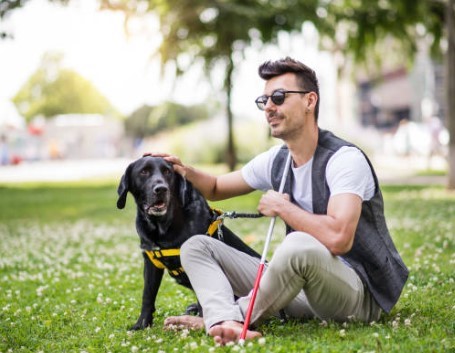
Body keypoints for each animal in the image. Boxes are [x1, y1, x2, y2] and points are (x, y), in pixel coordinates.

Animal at [117, 155, 260, 328]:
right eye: (144, 171)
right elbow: (147, 295)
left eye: (167, 172)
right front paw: (142, 324)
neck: (162, 226)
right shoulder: (150, 263)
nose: (161, 189)